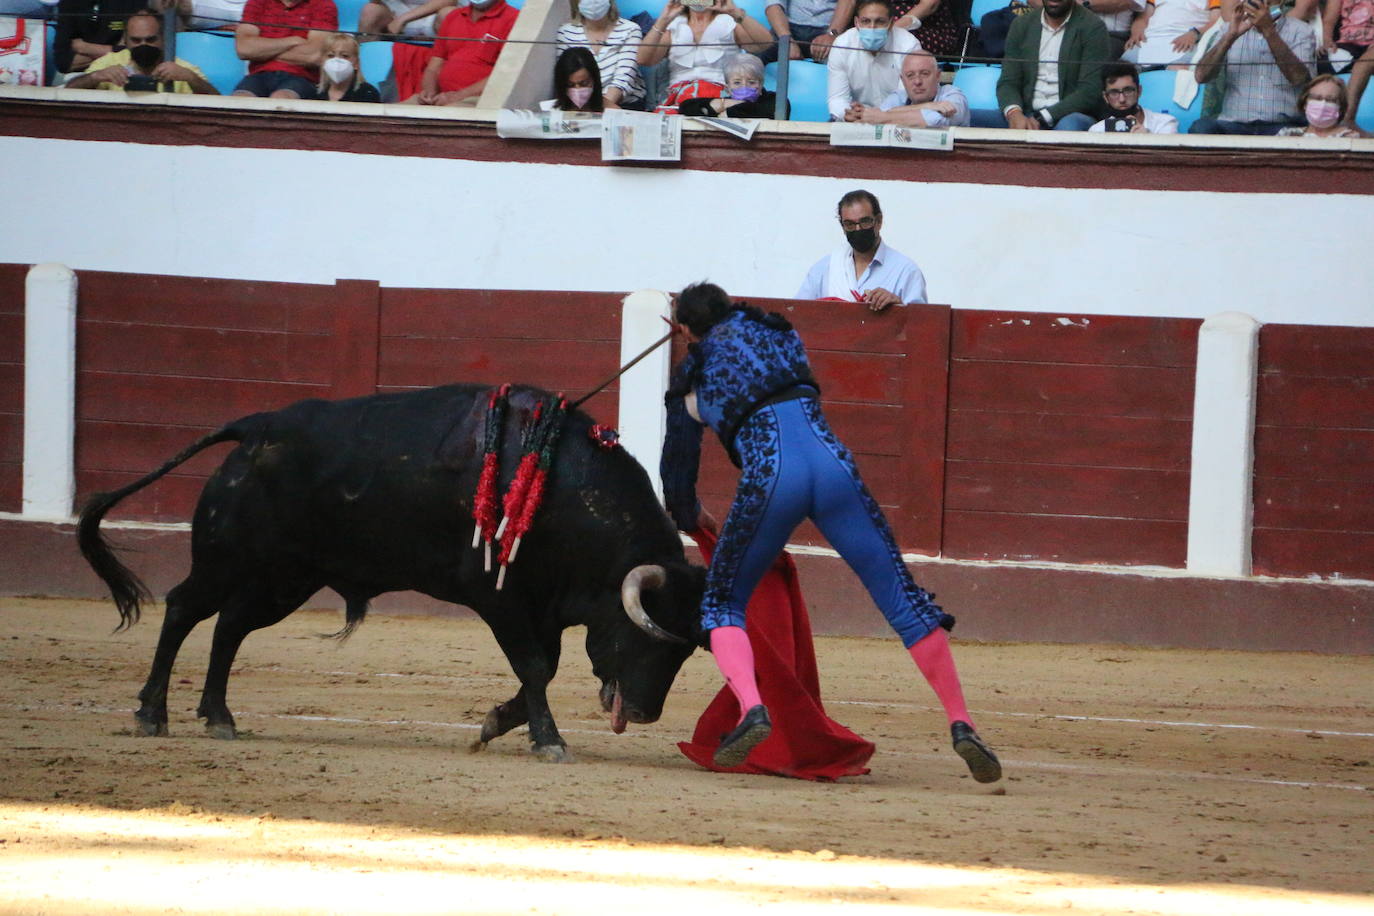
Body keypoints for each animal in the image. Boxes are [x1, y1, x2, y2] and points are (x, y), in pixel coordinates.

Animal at [80, 384, 708, 763]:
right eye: (651, 638)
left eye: (685, 650)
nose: (647, 713)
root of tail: (256, 428)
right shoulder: (500, 598)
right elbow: (534, 666)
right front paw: (548, 741)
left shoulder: (543, 605)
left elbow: (544, 667)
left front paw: (497, 722)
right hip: (227, 560)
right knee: (184, 608)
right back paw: (152, 714)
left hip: (284, 578)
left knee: (229, 627)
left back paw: (219, 717)